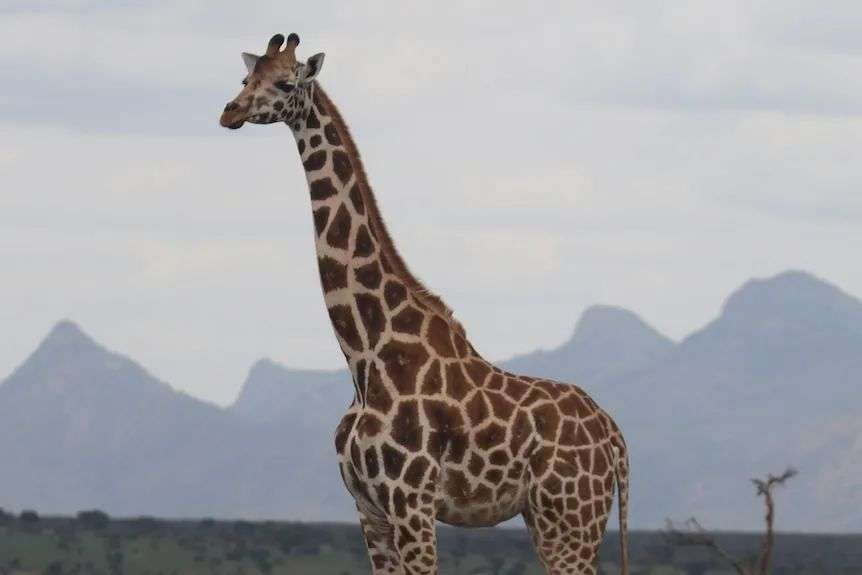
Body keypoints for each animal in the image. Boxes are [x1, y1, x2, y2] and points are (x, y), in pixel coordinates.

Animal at [220, 33, 630, 575]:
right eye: (247, 77)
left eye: (285, 83)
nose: (230, 111)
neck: (364, 355)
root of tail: (614, 435)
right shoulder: (369, 509)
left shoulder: (411, 502)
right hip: (549, 519)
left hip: (573, 517)